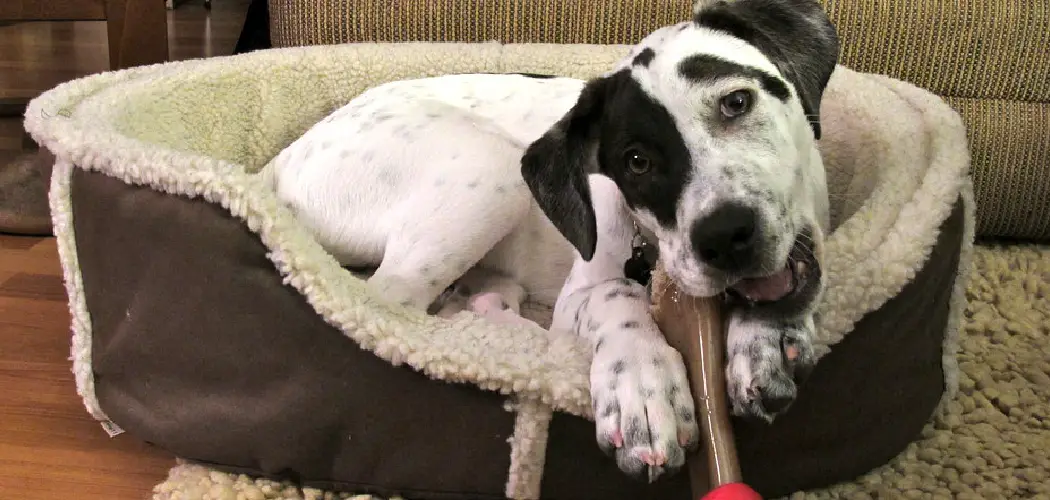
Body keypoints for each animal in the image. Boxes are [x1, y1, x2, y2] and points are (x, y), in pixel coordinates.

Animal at [262, 0, 835, 483]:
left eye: (737, 102)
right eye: (635, 162)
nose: (723, 237)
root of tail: (283, 160)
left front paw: (763, 337)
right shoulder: (583, 292)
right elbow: (616, 296)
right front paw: (642, 385)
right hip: (490, 167)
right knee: (393, 306)